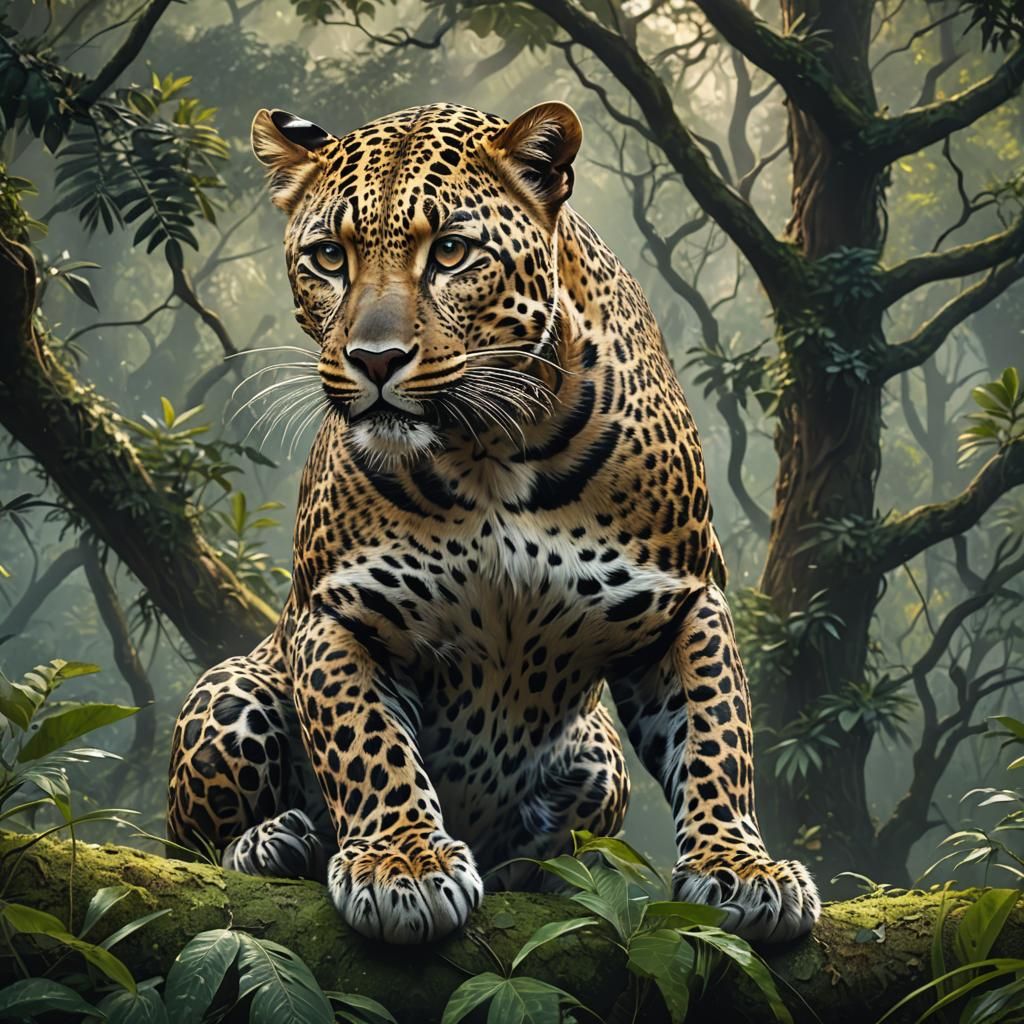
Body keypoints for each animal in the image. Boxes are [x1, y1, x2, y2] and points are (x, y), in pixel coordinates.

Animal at [166, 100, 820, 946]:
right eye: (328, 258)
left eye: (450, 251)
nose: (375, 359)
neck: (488, 448)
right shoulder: (336, 613)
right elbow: (365, 742)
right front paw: (403, 863)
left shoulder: (681, 598)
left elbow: (718, 735)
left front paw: (739, 866)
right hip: (232, 687)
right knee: (189, 847)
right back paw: (274, 843)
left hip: (600, 753)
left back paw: (537, 874)